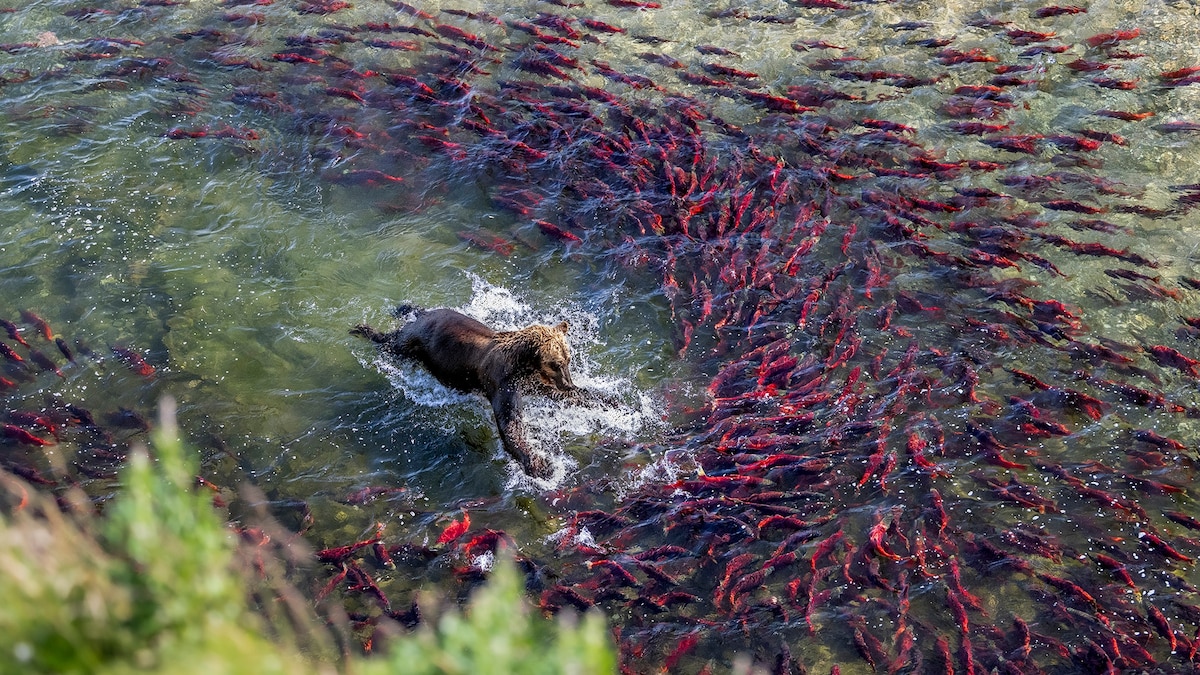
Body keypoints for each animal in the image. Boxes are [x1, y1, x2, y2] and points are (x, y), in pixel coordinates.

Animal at [352, 306, 610, 478]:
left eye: (568, 360)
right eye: (555, 363)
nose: (568, 382)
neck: (523, 366)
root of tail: (424, 316)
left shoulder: (533, 383)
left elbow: (568, 397)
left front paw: (609, 401)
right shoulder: (502, 383)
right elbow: (510, 423)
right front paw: (540, 464)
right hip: (414, 341)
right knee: (393, 343)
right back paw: (364, 329)